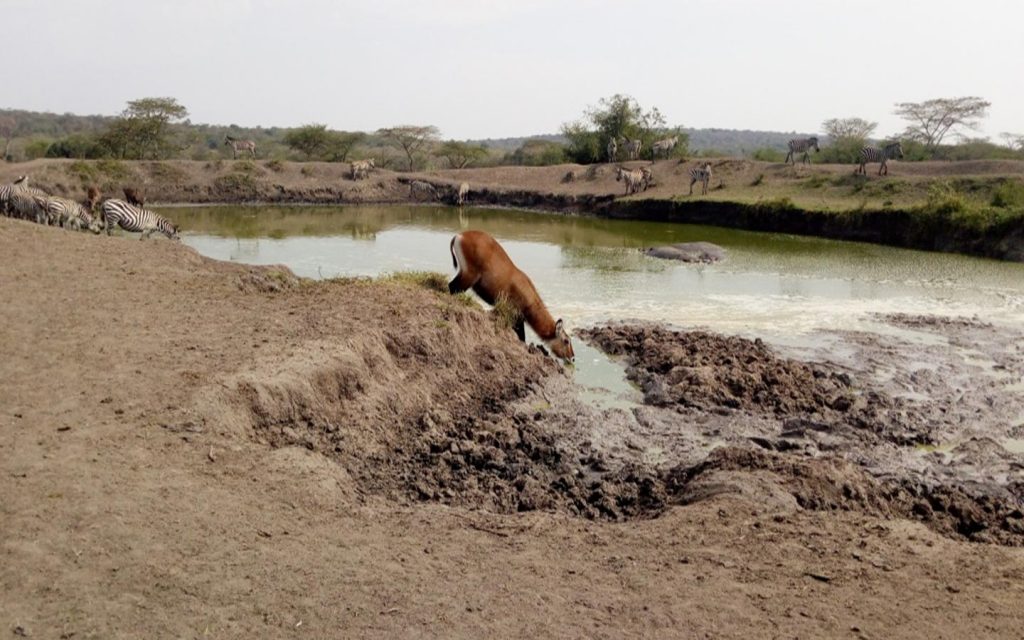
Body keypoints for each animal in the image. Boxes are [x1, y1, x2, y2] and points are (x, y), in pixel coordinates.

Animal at [448, 229, 577, 362]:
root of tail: (459, 236)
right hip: (468, 276)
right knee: (451, 287)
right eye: (566, 341)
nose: (573, 358)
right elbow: (522, 338)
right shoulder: (516, 317)